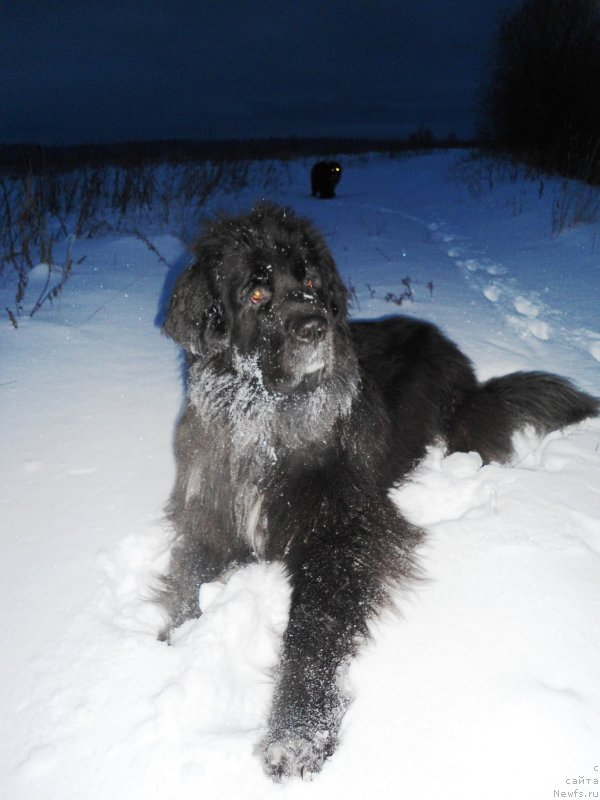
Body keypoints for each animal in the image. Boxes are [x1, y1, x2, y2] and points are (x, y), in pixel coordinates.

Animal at [157, 202, 596, 780]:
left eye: (310, 281)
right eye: (256, 293)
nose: (315, 325)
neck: (268, 426)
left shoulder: (344, 532)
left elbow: (313, 630)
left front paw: (296, 737)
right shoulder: (213, 514)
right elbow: (189, 582)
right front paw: (172, 641)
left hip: (458, 419)